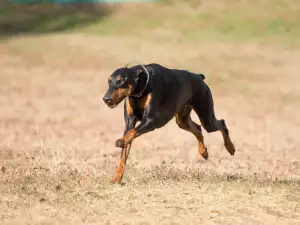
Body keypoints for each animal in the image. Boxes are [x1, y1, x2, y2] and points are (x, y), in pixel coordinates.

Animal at [103, 62, 237, 183]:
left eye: (121, 80)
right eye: (109, 81)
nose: (106, 99)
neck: (142, 86)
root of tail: (199, 77)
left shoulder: (151, 121)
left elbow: (131, 133)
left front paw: (120, 141)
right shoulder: (130, 121)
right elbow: (125, 149)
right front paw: (116, 178)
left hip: (206, 117)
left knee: (221, 124)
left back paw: (230, 148)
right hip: (182, 120)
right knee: (198, 129)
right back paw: (203, 152)